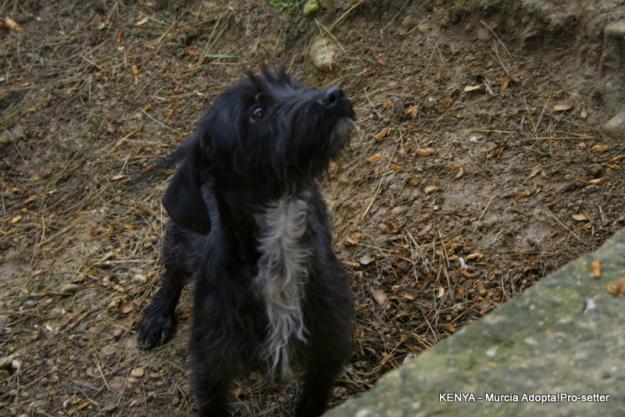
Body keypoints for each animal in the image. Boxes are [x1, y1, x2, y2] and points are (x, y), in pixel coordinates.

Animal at [140, 68, 356, 416]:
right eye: (257, 112)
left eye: (293, 84)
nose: (336, 95)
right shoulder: (209, 368)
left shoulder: (328, 347)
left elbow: (311, 401)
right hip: (180, 240)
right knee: (172, 273)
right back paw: (157, 315)